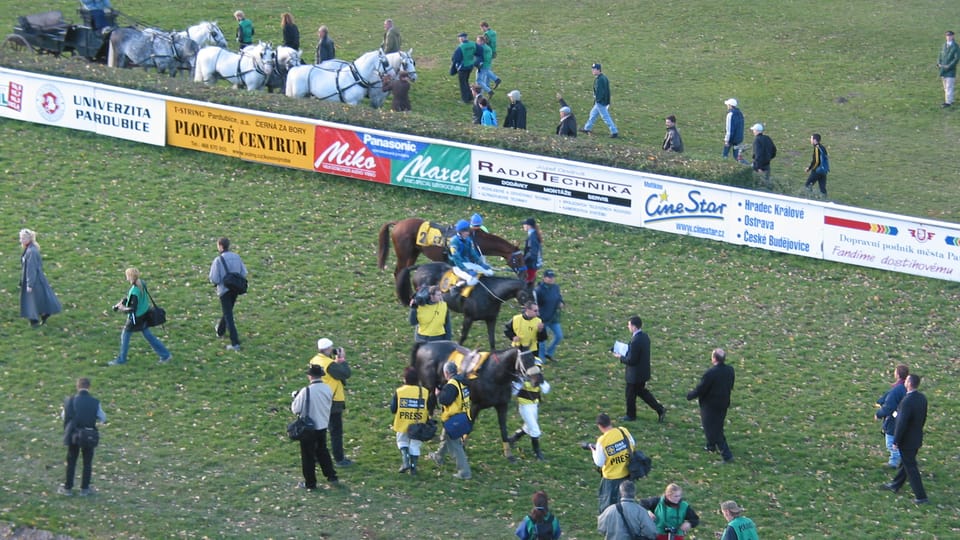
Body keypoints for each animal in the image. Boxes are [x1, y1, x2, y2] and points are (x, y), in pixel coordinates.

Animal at [376, 217, 524, 276]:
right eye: (517, 260)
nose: (524, 274)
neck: (477, 239)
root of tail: (399, 223)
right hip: (403, 255)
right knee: (398, 272)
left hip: (413, 253)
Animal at [398, 262, 532, 348]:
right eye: (526, 294)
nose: (534, 310)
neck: (488, 294)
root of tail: (421, 266)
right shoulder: (468, 317)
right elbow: (463, 337)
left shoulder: (491, 319)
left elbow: (492, 340)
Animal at [408, 342, 536, 460]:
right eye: (525, 360)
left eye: (533, 359)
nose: (536, 378)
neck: (494, 374)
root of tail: (424, 344)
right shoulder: (475, 405)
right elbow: (469, 426)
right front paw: (462, 446)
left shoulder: (502, 406)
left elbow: (503, 428)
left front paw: (509, 454)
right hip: (429, 387)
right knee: (429, 405)